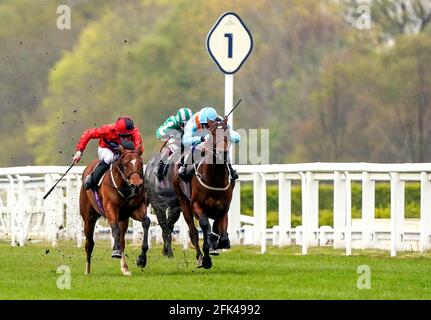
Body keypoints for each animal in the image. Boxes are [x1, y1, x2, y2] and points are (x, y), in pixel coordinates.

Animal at [79, 142, 148, 276]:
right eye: (125, 164)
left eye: (141, 164)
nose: (137, 185)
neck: (124, 187)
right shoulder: (111, 209)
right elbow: (115, 229)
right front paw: (115, 251)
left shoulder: (135, 209)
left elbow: (146, 222)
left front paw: (142, 259)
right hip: (88, 218)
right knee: (89, 243)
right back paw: (87, 270)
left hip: (123, 219)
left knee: (122, 240)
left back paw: (125, 268)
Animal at [174, 119, 235, 268]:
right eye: (212, 132)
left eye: (227, 130)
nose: (222, 152)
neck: (215, 179)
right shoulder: (197, 205)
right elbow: (204, 225)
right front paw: (206, 258)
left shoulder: (223, 209)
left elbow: (221, 234)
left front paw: (219, 243)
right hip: (184, 203)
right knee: (193, 232)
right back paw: (201, 257)